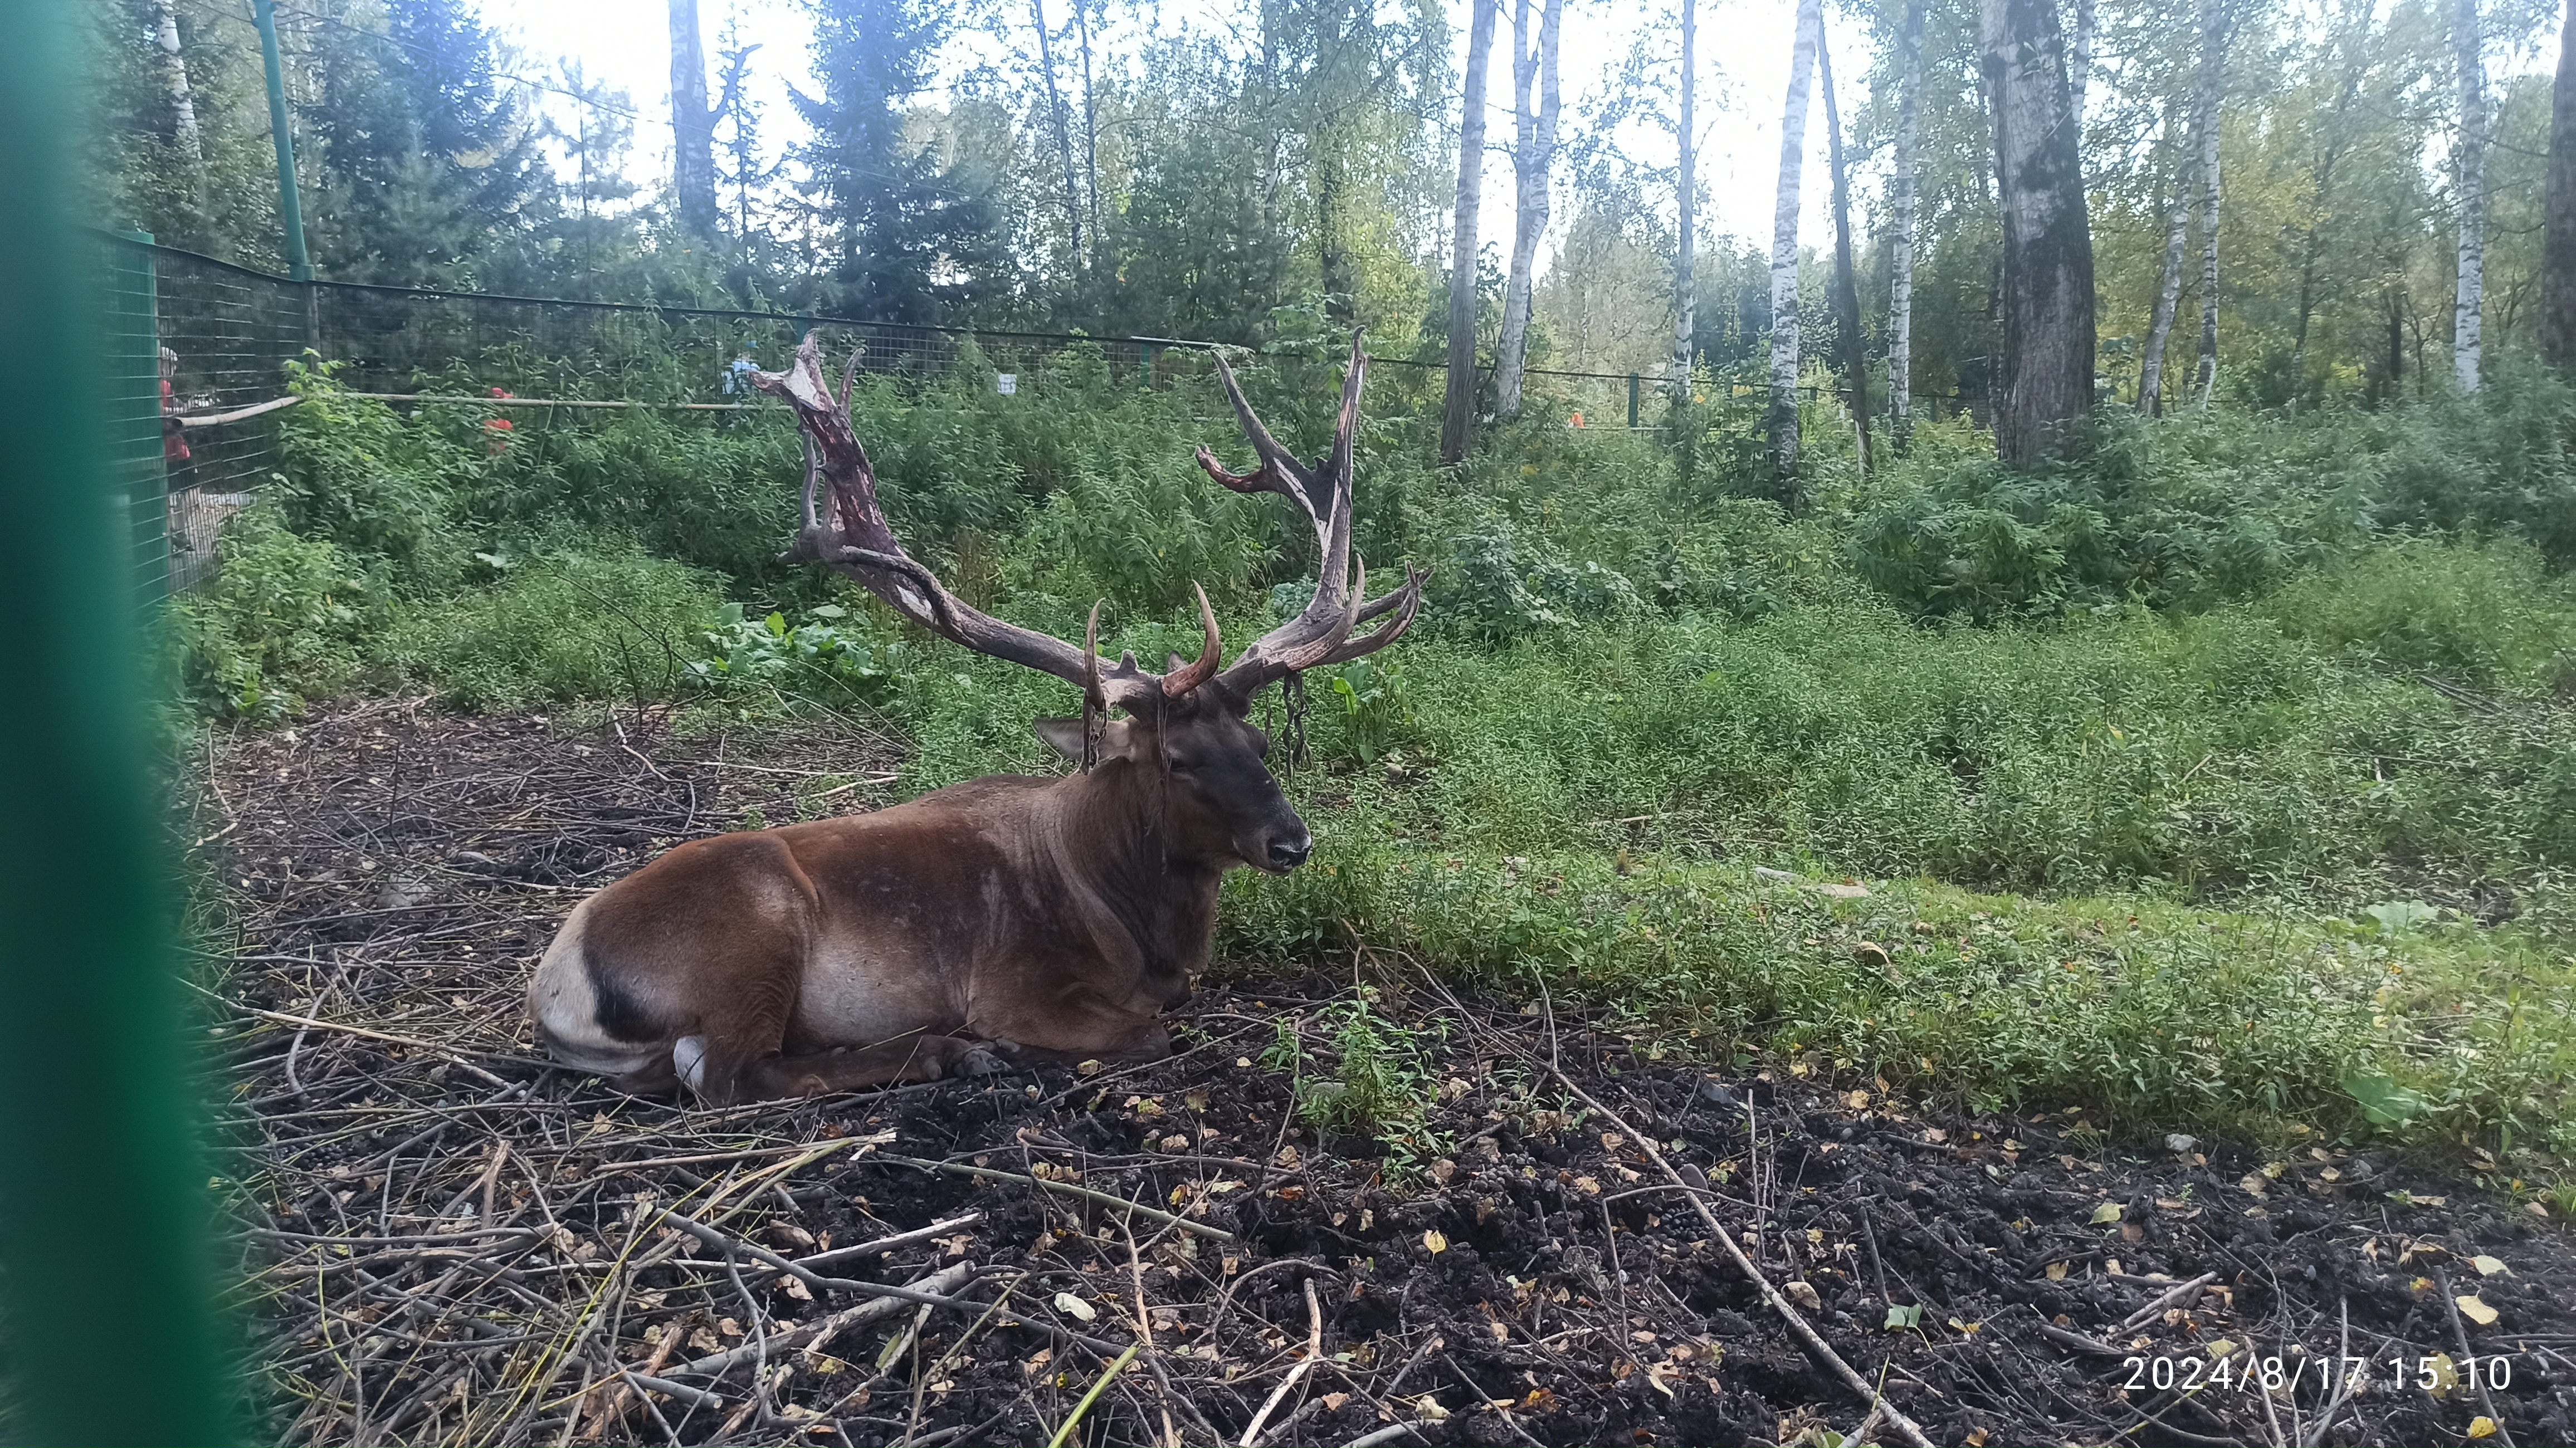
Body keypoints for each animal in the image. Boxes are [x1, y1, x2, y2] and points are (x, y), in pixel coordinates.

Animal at [528, 332, 1432, 1097]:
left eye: (1260, 740)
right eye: (1176, 760)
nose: (1292, 841)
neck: (1138, 926)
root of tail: (557, 982)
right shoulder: (1013, 985)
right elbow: (1151, 1030)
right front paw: (1000, 1043)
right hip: (752, 932)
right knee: (731, 1073)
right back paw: (947, 1051)